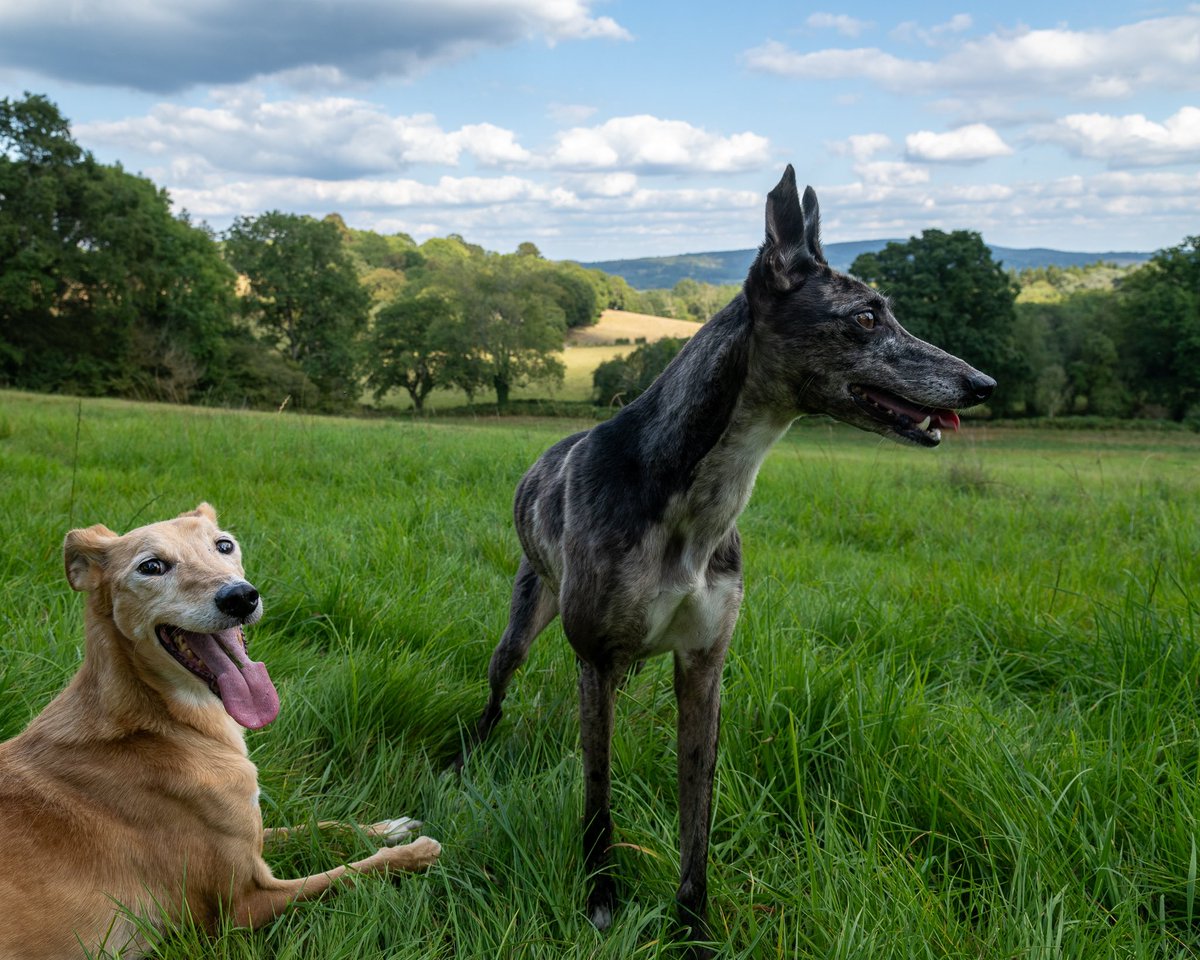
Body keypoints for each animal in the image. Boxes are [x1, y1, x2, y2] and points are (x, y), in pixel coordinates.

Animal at [0, 506, 439, 955]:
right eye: (151, 566)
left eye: (223, 545)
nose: (241, 596)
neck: (157, 722)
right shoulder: (242, 905)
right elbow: (350, 871)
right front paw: (415, 852)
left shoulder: (252, 834)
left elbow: (318, 826)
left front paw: (388, 828)